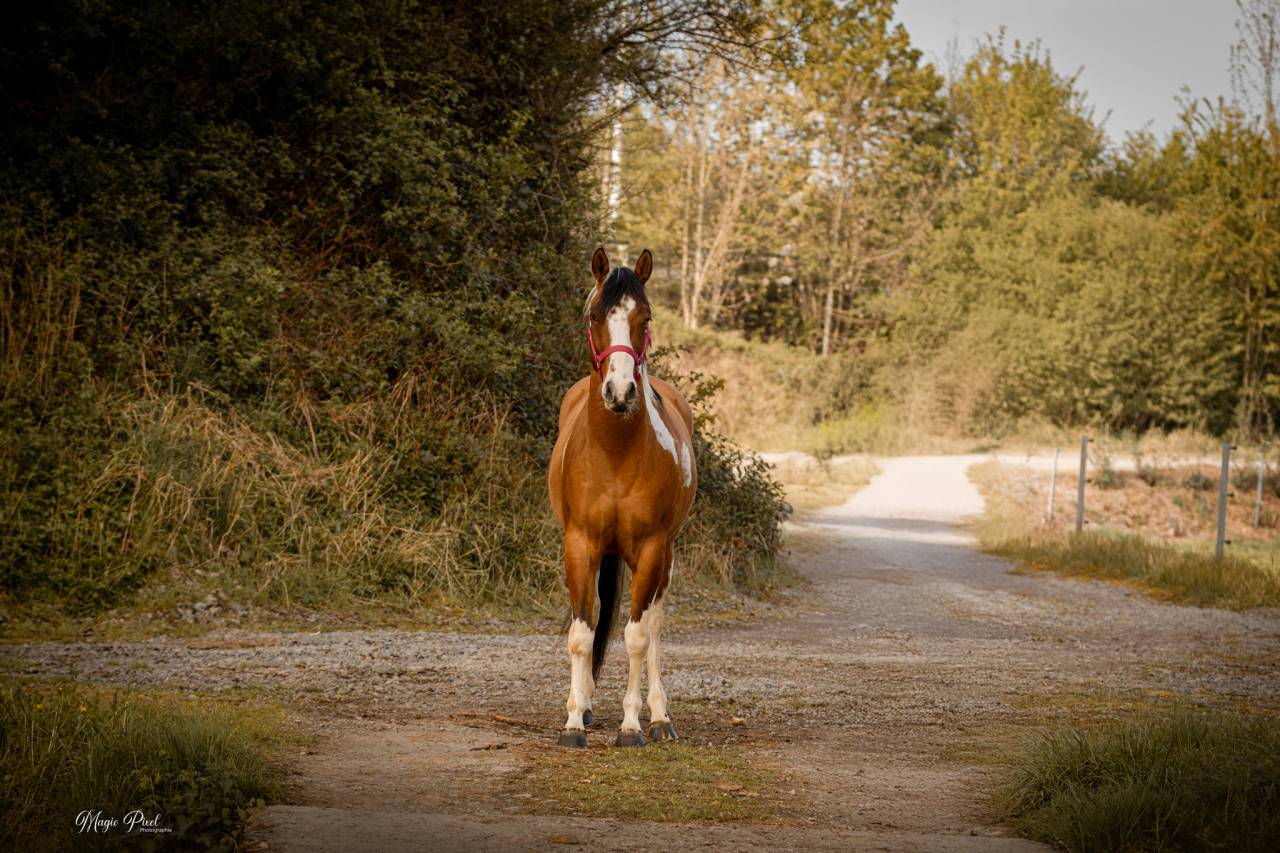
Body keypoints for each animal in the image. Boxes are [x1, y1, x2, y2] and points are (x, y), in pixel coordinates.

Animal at [547, 247, 698, 748]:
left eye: (643, 317)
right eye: (596, 315)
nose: (619, 391)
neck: (614, 452)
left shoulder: (650, 549)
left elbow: (637, 637)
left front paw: (632, 726)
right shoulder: (579, 545)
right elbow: (582, 634)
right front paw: (574, 721)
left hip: (664, 556)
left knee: (652, 625)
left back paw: (659, 716)